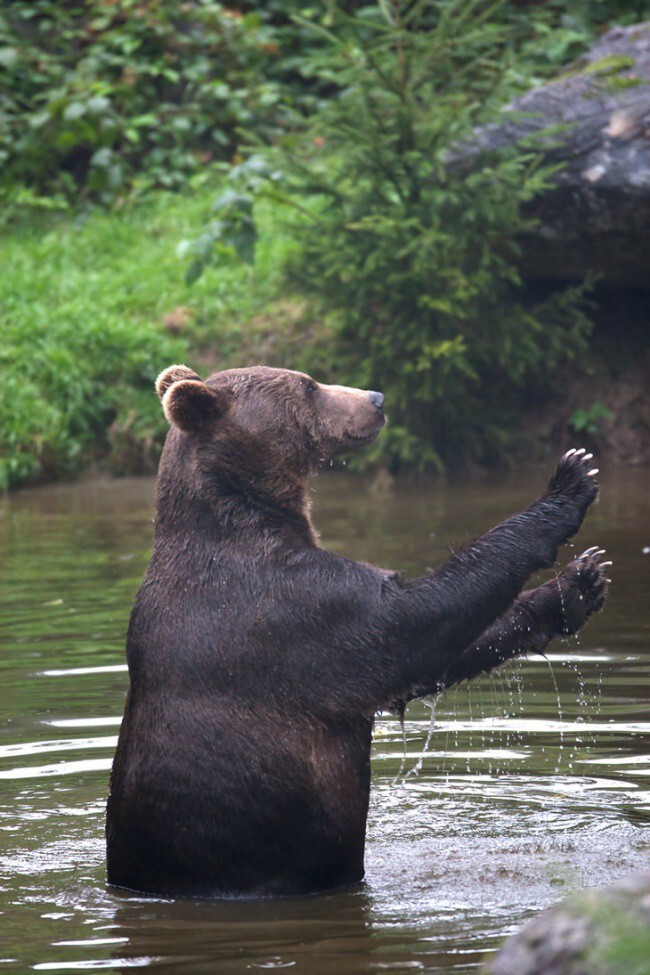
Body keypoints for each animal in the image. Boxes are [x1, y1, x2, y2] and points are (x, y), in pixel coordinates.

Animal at [105, 364, 608, 900]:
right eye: (308, 385)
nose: (376, 398)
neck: (246, 514)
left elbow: (442, 654)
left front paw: (580, 583)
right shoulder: (283, 613)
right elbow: (408, 623)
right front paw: (571, 480)